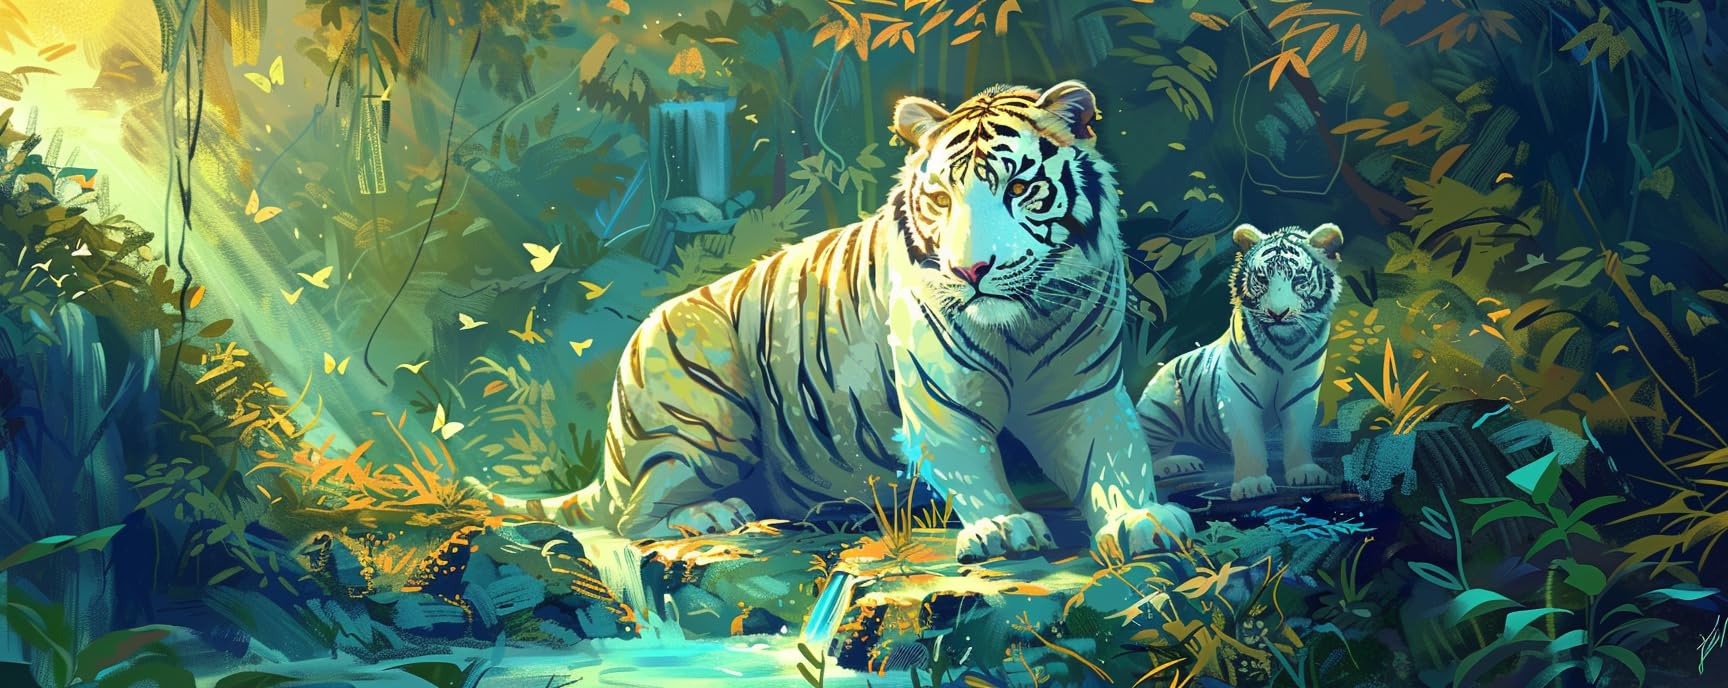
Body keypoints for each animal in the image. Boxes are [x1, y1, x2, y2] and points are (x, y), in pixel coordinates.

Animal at [469, 81, 1193, 564]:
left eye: (1019, 188)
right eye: (940, 197)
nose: (970, 270)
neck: (1022, 322)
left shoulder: (1082, 393)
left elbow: (1114, 456)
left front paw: (1142, 519)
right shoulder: (939, 396)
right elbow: (969, 459)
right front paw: (1002, 528)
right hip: (701, 401)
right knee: (631, 519)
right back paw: (711, 513)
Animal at [1135, 223, 1343, 500]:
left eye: (1298, 280)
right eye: (1263, 279)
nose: (1277, 314)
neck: (1284, 346)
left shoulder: (1302, 390)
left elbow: (1298, 432)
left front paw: (1306, 472)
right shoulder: (1238, 393)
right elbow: (1247, 438)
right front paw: (1252, 484)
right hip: (1160, 409)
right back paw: (1174, 464)